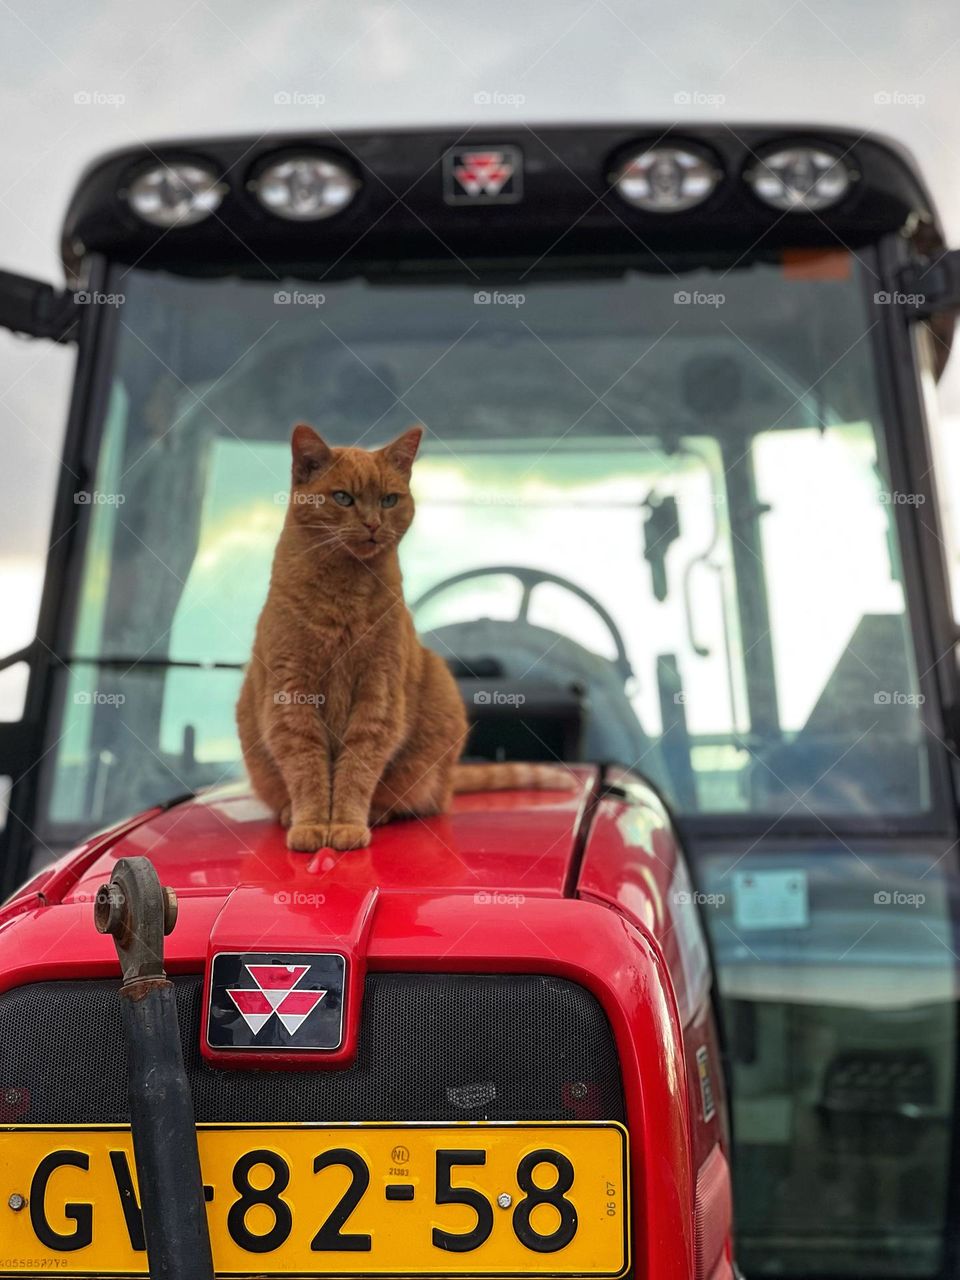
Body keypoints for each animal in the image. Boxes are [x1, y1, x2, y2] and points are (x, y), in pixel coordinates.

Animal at [238, 424, 576, 855]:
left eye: (389, 499)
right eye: (343, 498)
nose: (372, 524)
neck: (344, 592)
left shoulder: (379, 693)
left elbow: (356, 769)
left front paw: (345, 824)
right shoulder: (292, 693)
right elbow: (307, 766)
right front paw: (312, 824)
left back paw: (379, 812)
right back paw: (287, 813)